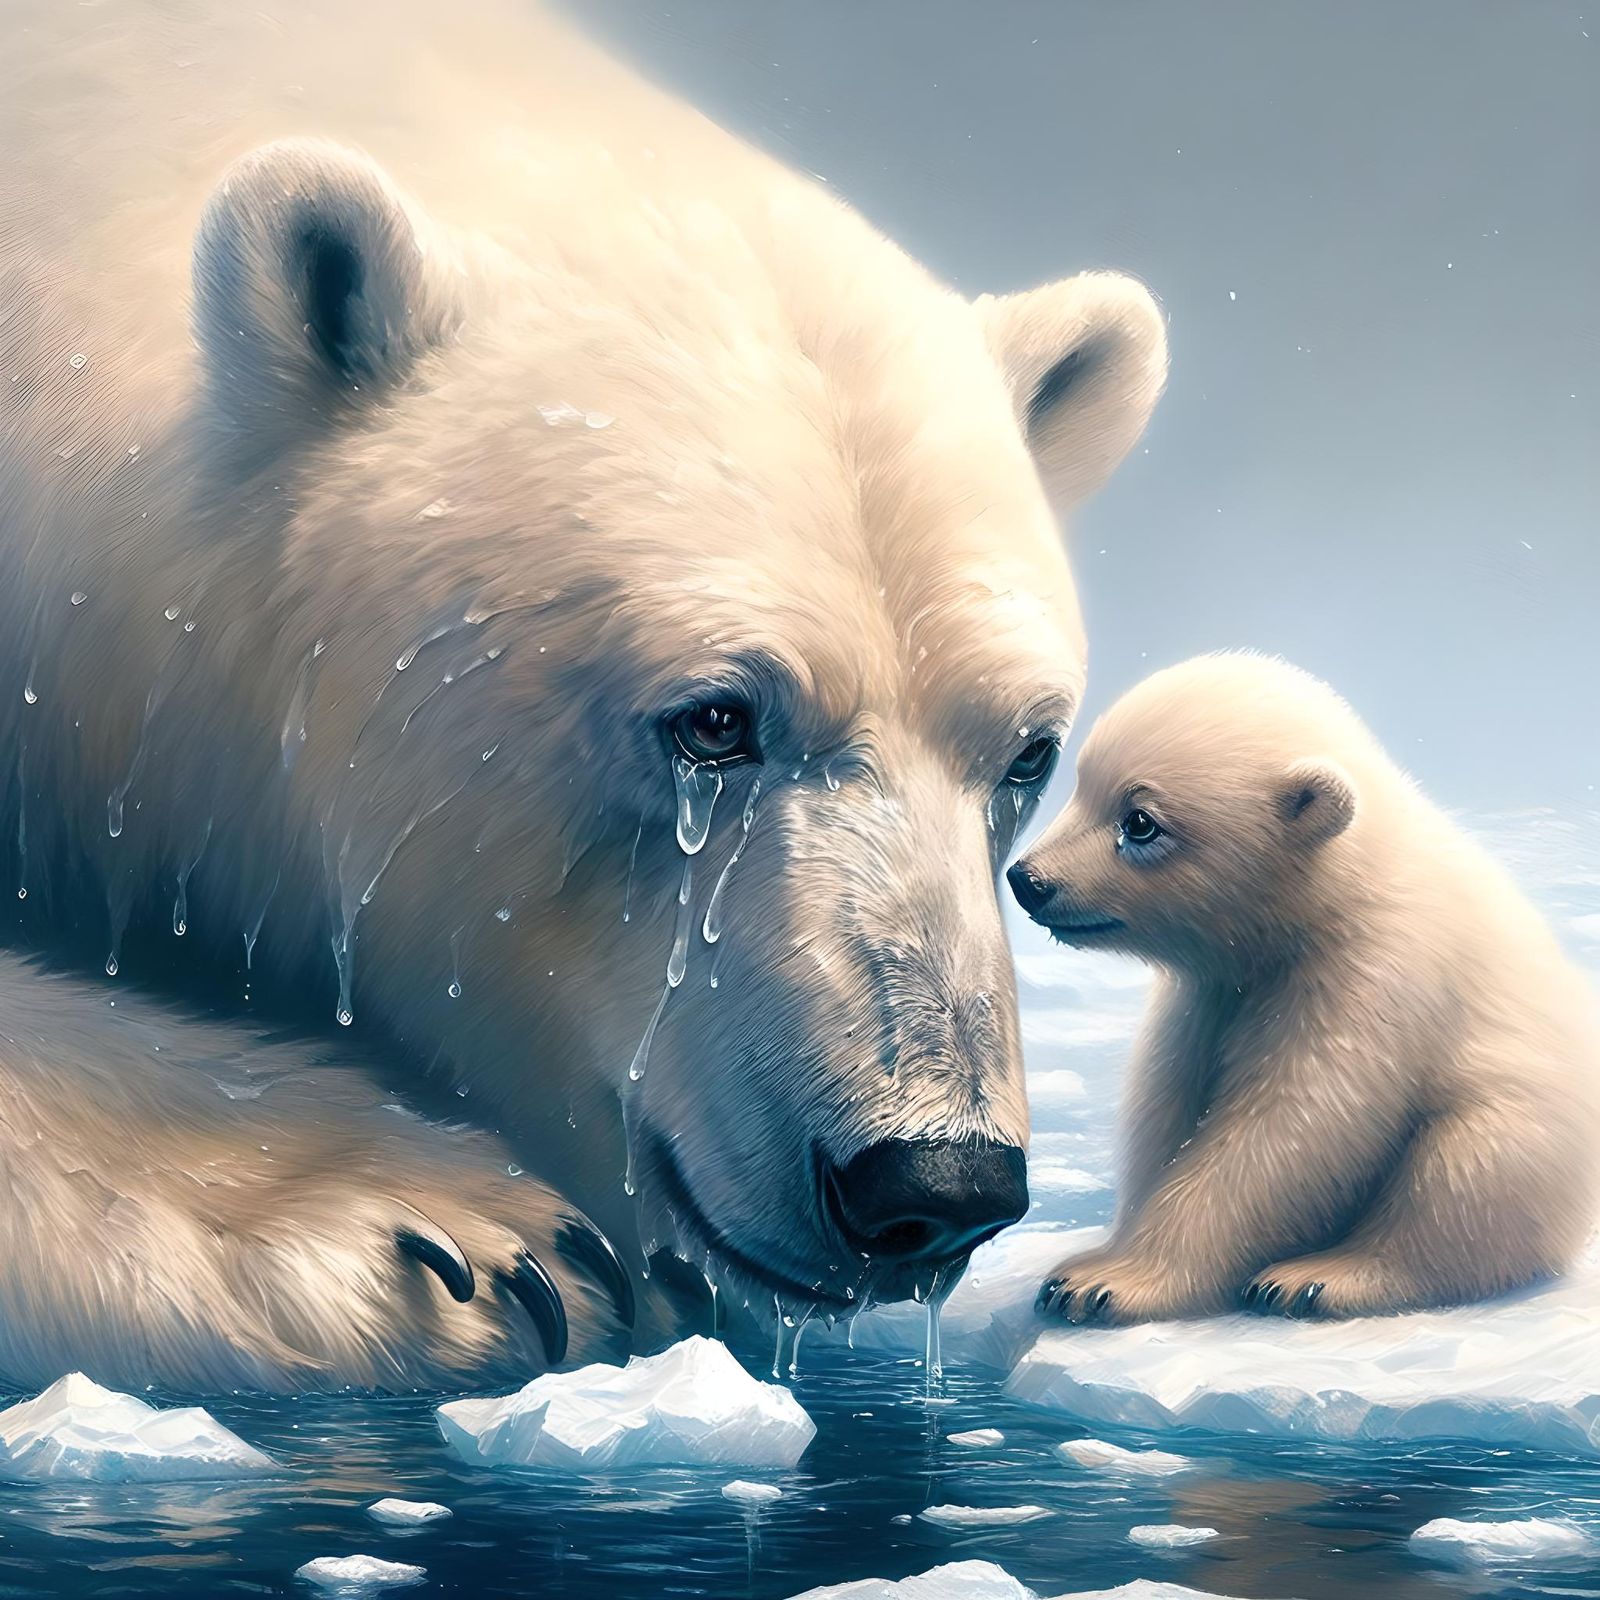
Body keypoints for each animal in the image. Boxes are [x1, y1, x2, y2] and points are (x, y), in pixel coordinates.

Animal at [1008, 652, 1600, 1323]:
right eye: (1080, 785)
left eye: (1139, 822)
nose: (1028, 880)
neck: (1340, 881)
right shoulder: (1210, 991)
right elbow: (1170, 1105)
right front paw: (1096, 1261)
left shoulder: (1372, 971)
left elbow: (1294, 1128)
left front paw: (1101, 1283)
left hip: (1530, 1126)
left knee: (1464, 1170)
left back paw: (1318, 1277)